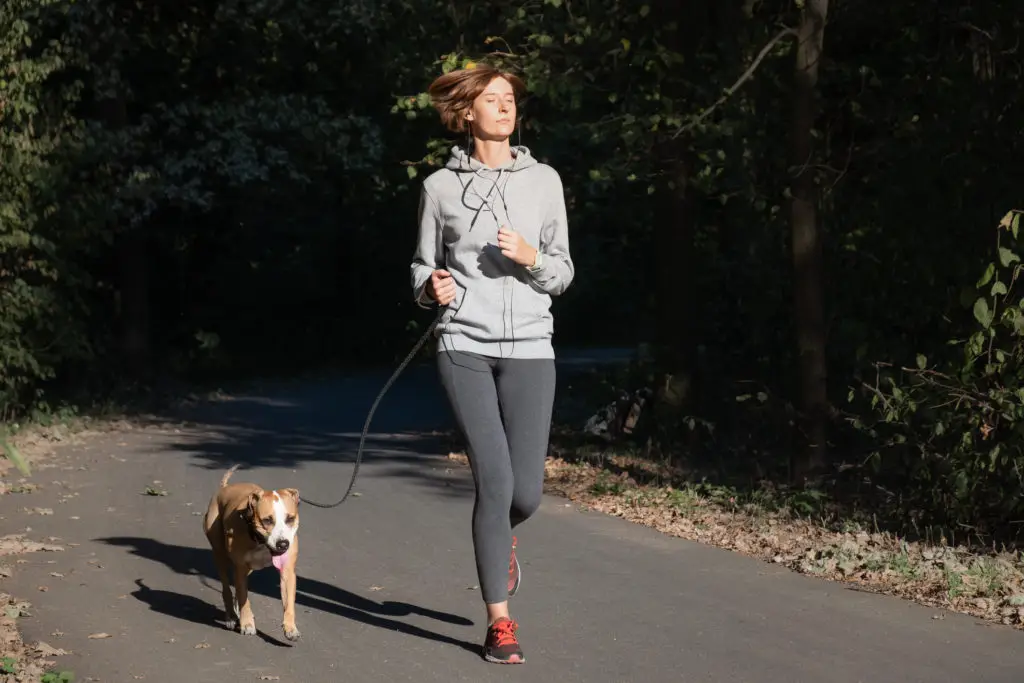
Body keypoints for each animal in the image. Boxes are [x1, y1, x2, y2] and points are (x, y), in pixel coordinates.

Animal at [202, 464, 299, 643]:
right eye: (267, 520)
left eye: (290, 518)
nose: (283, 544)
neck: (259, 542)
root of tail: (224, 488)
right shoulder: (240, 568)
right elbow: (244, 598)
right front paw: (247, 624)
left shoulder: (287, 570)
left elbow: (288, 602)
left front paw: (290, 628)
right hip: (220, 555)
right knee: (227, 588)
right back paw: (231, 616)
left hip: (249, 568)